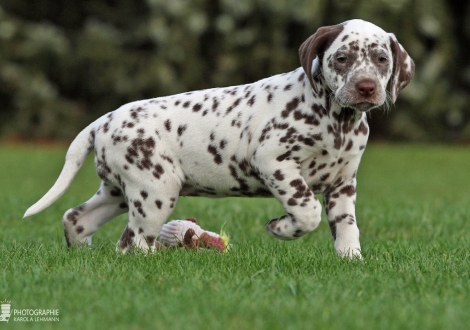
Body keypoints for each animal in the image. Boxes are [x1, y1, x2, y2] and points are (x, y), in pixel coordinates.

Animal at [26, 19, 414, 260]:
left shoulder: (342, 183)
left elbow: (346, 228)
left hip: (122, 192)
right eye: (342, 58)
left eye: (381, 59)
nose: (366, 87)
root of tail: (103, 120)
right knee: (131, 243)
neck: (336, 121)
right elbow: (308, 211)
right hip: (156, 191)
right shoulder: (275, 163)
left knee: (77, 218)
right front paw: (281, 228)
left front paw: (351, 261)